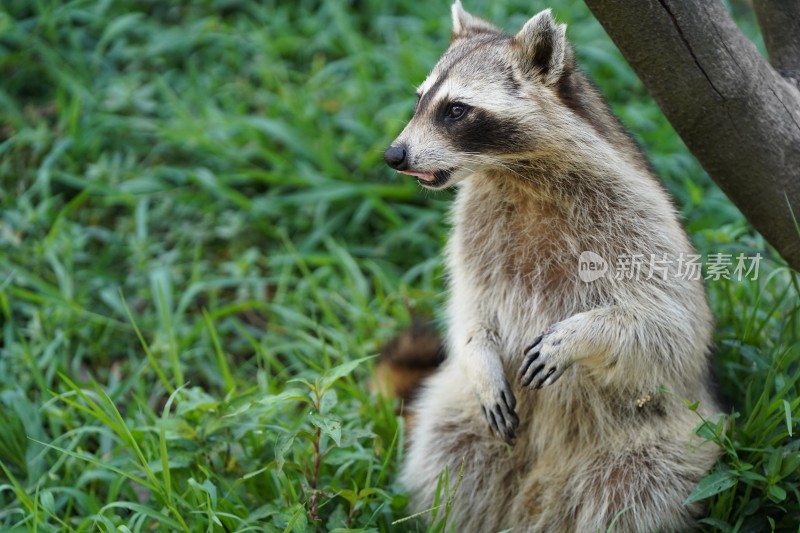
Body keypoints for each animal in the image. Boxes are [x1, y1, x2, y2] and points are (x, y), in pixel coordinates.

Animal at [382, 2, 724, 528]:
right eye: (420, 100)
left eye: (456, 109)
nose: (394, 155)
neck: (516, 174)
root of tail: (536, 493)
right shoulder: (475, 225)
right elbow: (469, 303)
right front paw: (477, 352)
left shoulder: (640, 217)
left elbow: (669, 323)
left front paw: (583, 334)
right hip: (464, 418)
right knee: (448, 455)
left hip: (658, 440)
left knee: (636, 490)